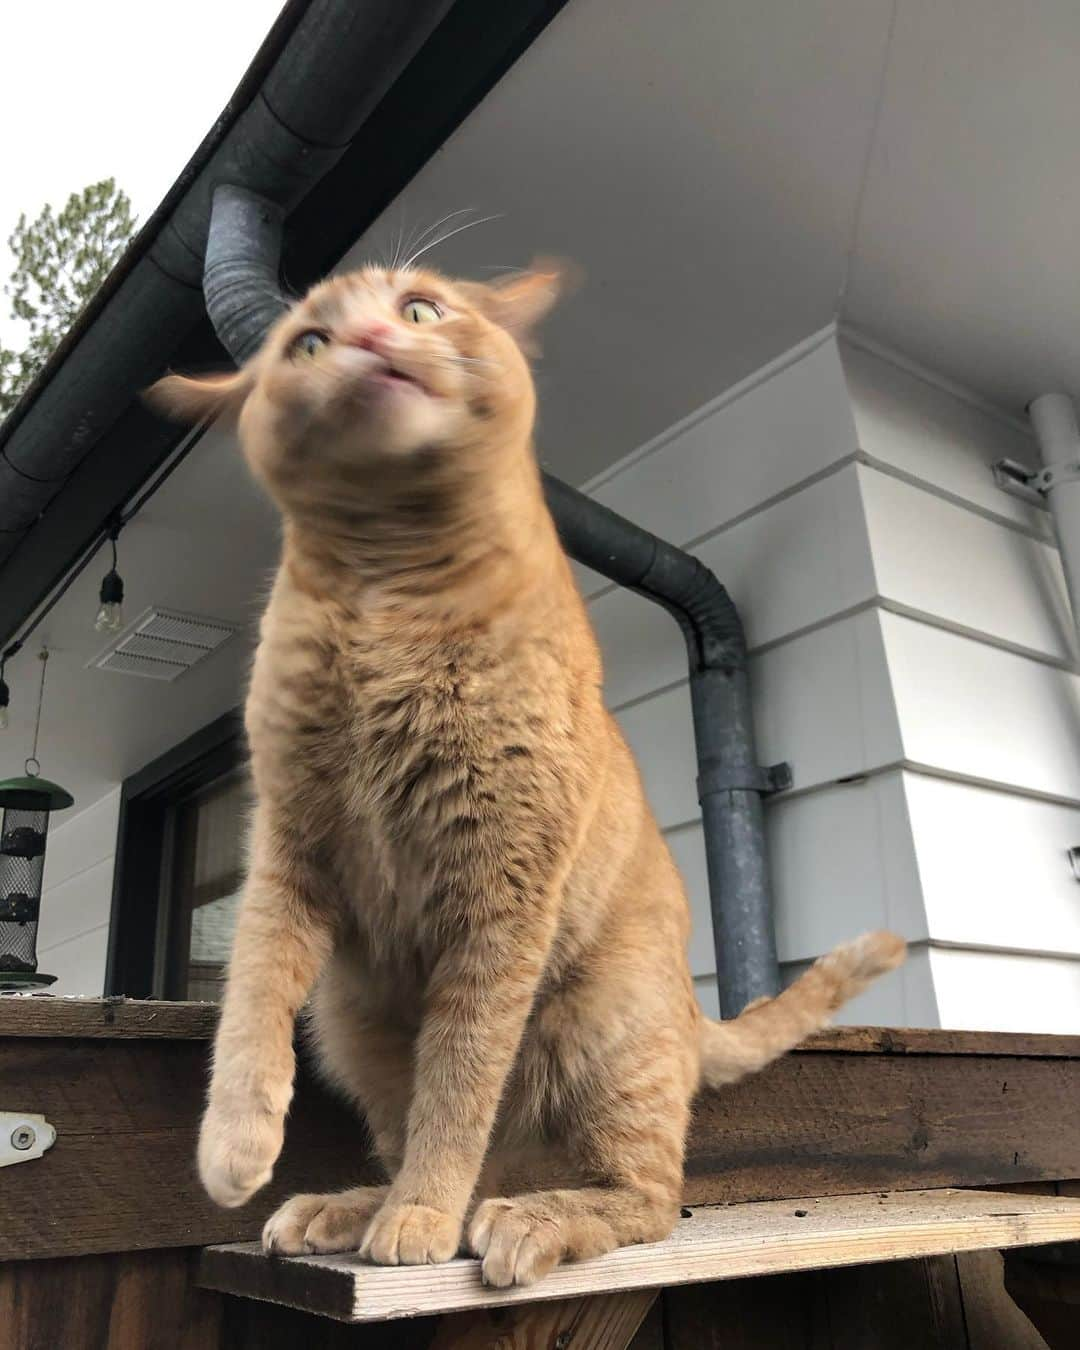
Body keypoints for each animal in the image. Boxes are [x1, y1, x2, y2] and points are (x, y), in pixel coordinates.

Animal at [149, 260, 901, 1285]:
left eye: (419, 308)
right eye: (308, 342)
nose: (373, 342)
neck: (389, 591)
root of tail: (688, 1013)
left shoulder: (500, 894)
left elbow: (460, 1083)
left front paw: (423, 1213)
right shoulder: (286, 850)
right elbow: (251, 1008)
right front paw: (236, 1149)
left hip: (600, 1031)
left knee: (644, 1198)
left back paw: (520, 1217)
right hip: (351, 1019)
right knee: (441, 1140)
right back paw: (354, 1204)